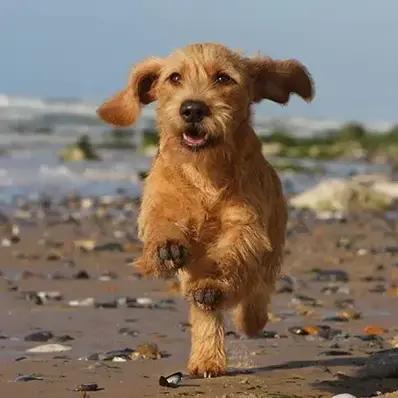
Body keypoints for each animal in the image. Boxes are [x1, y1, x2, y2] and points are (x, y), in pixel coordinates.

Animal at [97, 42, 314, 378]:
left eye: (224, 78)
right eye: (174, 77)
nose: (193, 109)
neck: (204, 171)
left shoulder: (246, 225)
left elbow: (233, 253)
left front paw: (215, 284)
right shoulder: (161, 203)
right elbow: (162, 224)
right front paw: (166, 247)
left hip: (272, 250)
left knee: (256, 291)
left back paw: (247, 319)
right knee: (205, 313)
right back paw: (206, 359)